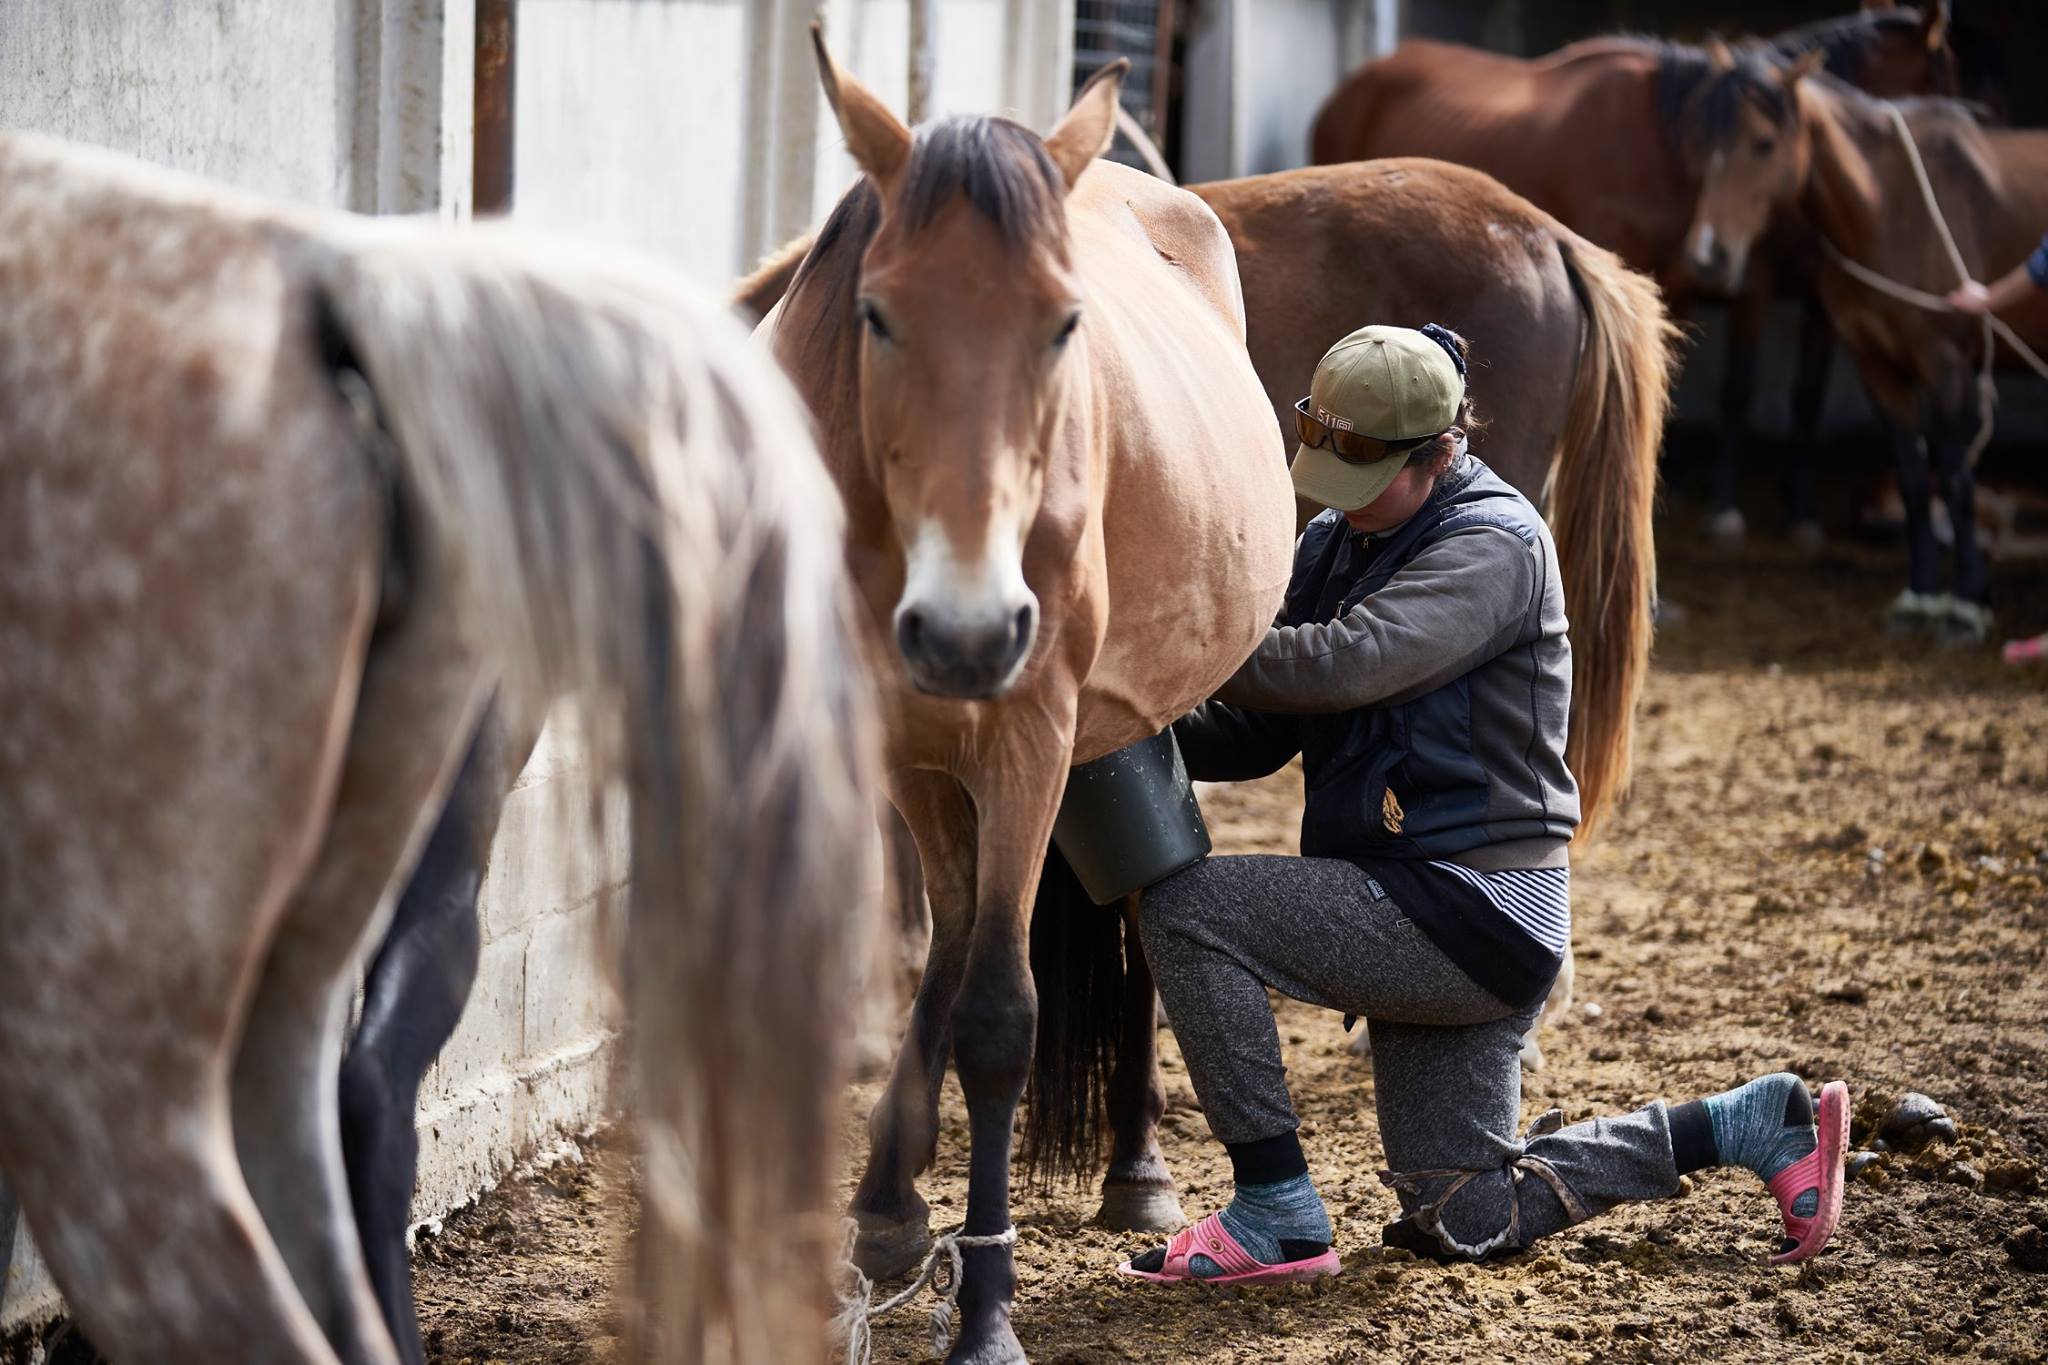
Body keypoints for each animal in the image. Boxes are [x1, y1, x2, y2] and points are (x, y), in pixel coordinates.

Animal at [770, 34, 1294, 1365]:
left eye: (1064, 325)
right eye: (876, 315)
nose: (967, 630)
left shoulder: (1030, 730)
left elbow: (1003, 1016)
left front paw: (987, 1314)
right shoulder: (903, 739)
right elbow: (949, 957)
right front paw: (889, 1215)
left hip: (1136, 723)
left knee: (1152, 910)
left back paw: (1136, 1165)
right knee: (971, 935)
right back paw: (895, 1204)